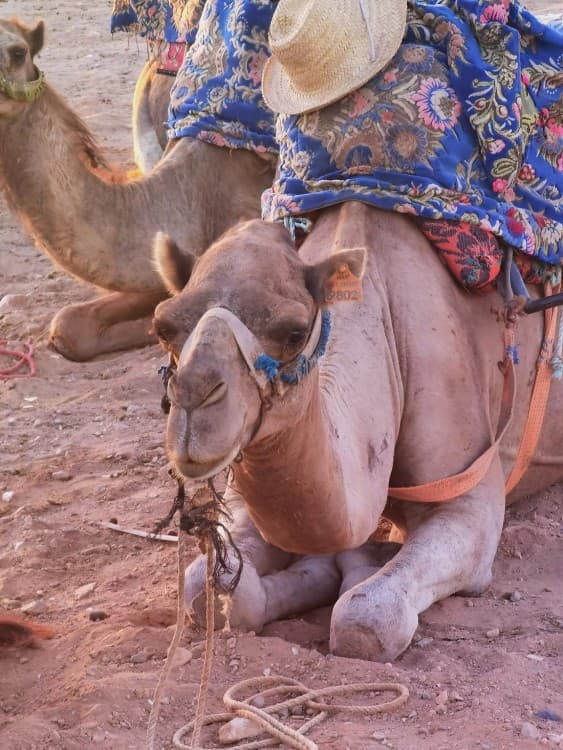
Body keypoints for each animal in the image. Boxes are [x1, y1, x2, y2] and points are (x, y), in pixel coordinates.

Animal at [151, 205, 563, 662]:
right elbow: (205, 590)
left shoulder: (469, 496)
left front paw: (354, 570)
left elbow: (366, 618)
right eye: (163, 327)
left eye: (294, 332)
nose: (195, 401)